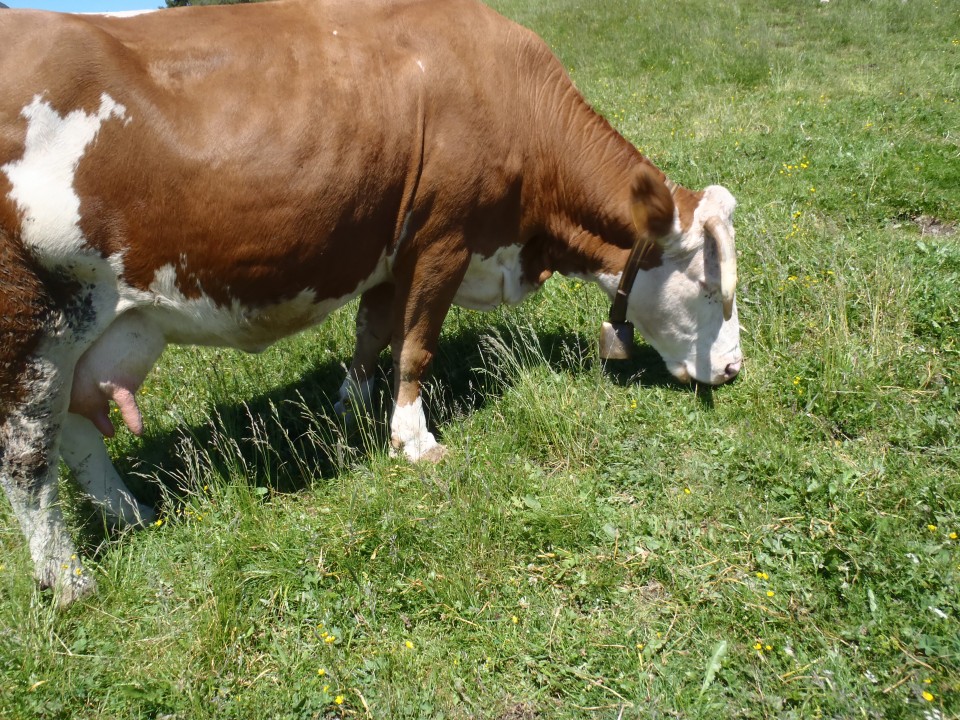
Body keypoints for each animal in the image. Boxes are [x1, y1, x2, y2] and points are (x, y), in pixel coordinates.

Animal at [0, 0, 744, 604]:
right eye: (712, 288)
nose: (734, 370)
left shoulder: (392, 250)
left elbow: (372, 331)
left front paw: (350, 405)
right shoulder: (443, 240)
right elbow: (416, 346)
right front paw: (413, 438)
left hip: (99, 326)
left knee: (76, 429)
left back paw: (133, 514)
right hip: (35, 324)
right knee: (29, 453)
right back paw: (68, 579)